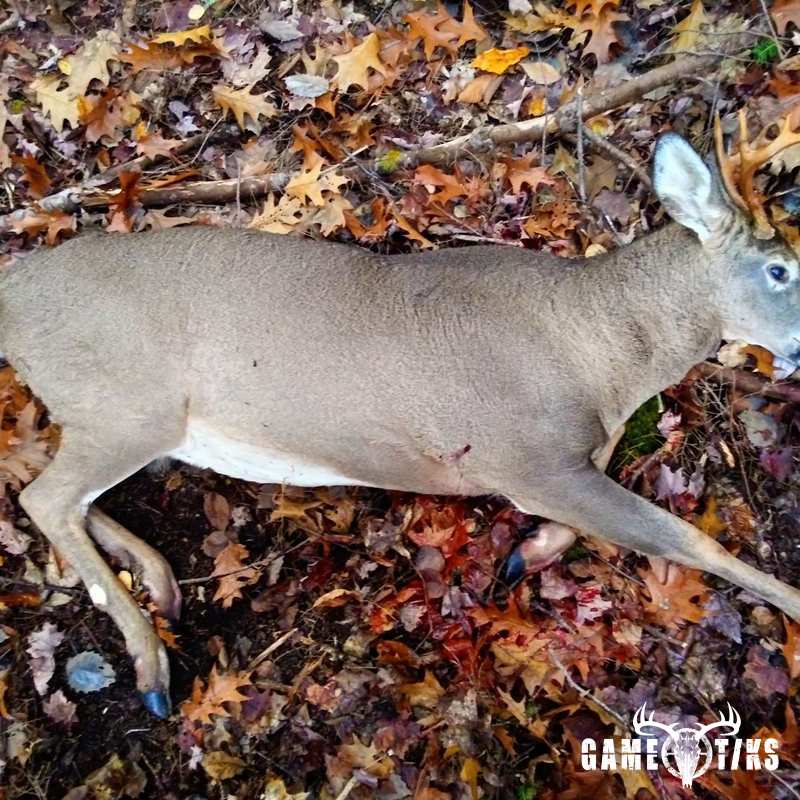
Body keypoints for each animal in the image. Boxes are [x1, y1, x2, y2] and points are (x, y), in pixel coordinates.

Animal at [3, 122, 800, 718]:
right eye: (781, 268)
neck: (602, 355)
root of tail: (14, 290)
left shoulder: (565, 458)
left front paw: (527, 553)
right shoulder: (526, 453)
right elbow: (688, 538)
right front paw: (790, 600)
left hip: (110, 411)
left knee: (56, 491)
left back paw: (161, 579)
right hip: (129, 398)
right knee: (44, 496)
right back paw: (151, 665)